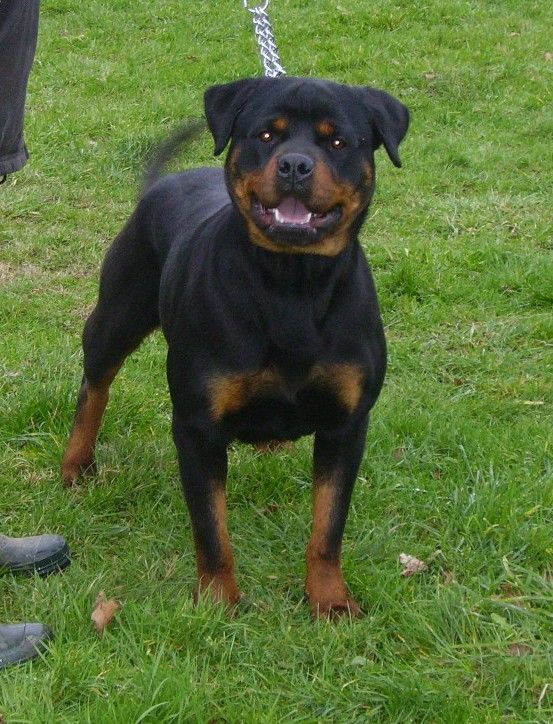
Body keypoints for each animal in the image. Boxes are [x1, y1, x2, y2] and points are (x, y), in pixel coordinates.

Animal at [62, 76, 409, 618]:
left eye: (337, 142)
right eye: (266, 135)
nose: (295, 165)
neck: (291, 285)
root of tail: (161, 185)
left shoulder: (346, 424)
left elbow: (328, 528)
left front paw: (330, 600)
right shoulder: (197, 427)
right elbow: (212, 531)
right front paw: (216, 603)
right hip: (116, 317)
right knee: (94, 387)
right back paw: (76, 465)